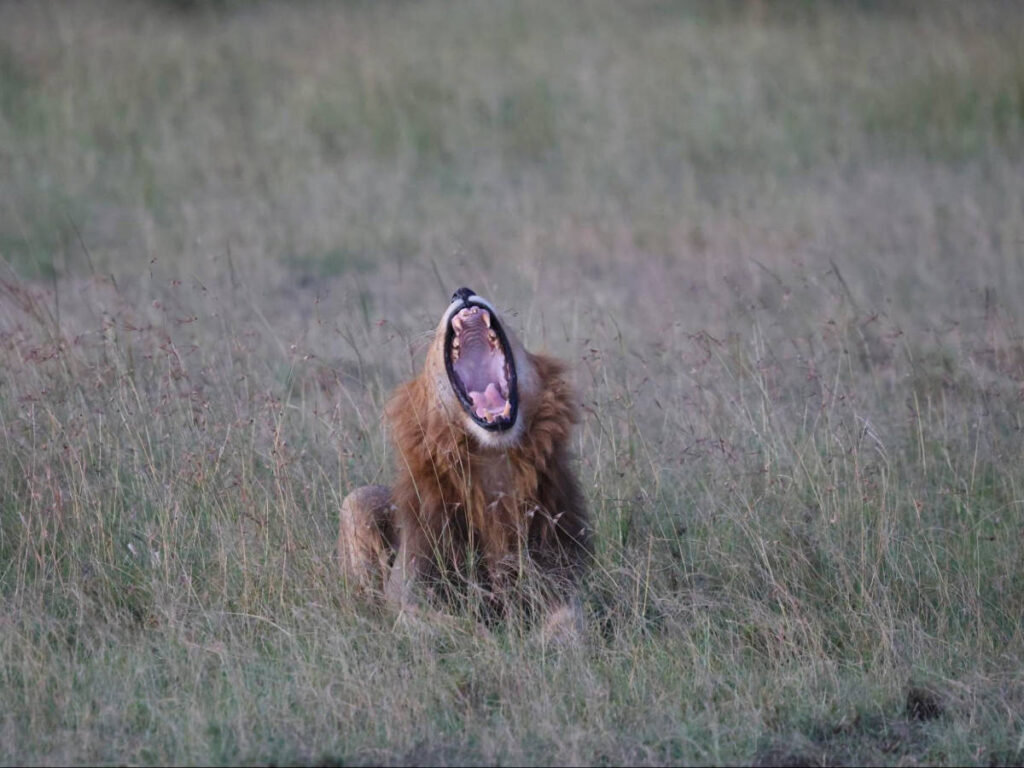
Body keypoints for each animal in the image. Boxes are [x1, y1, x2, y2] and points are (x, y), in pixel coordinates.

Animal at [338, 287, 590, 636]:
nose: (462, 291)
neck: (494, 461)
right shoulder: (410, 596)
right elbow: (463, 629)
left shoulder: (564, 579)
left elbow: (570, 620)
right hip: (357, 500)